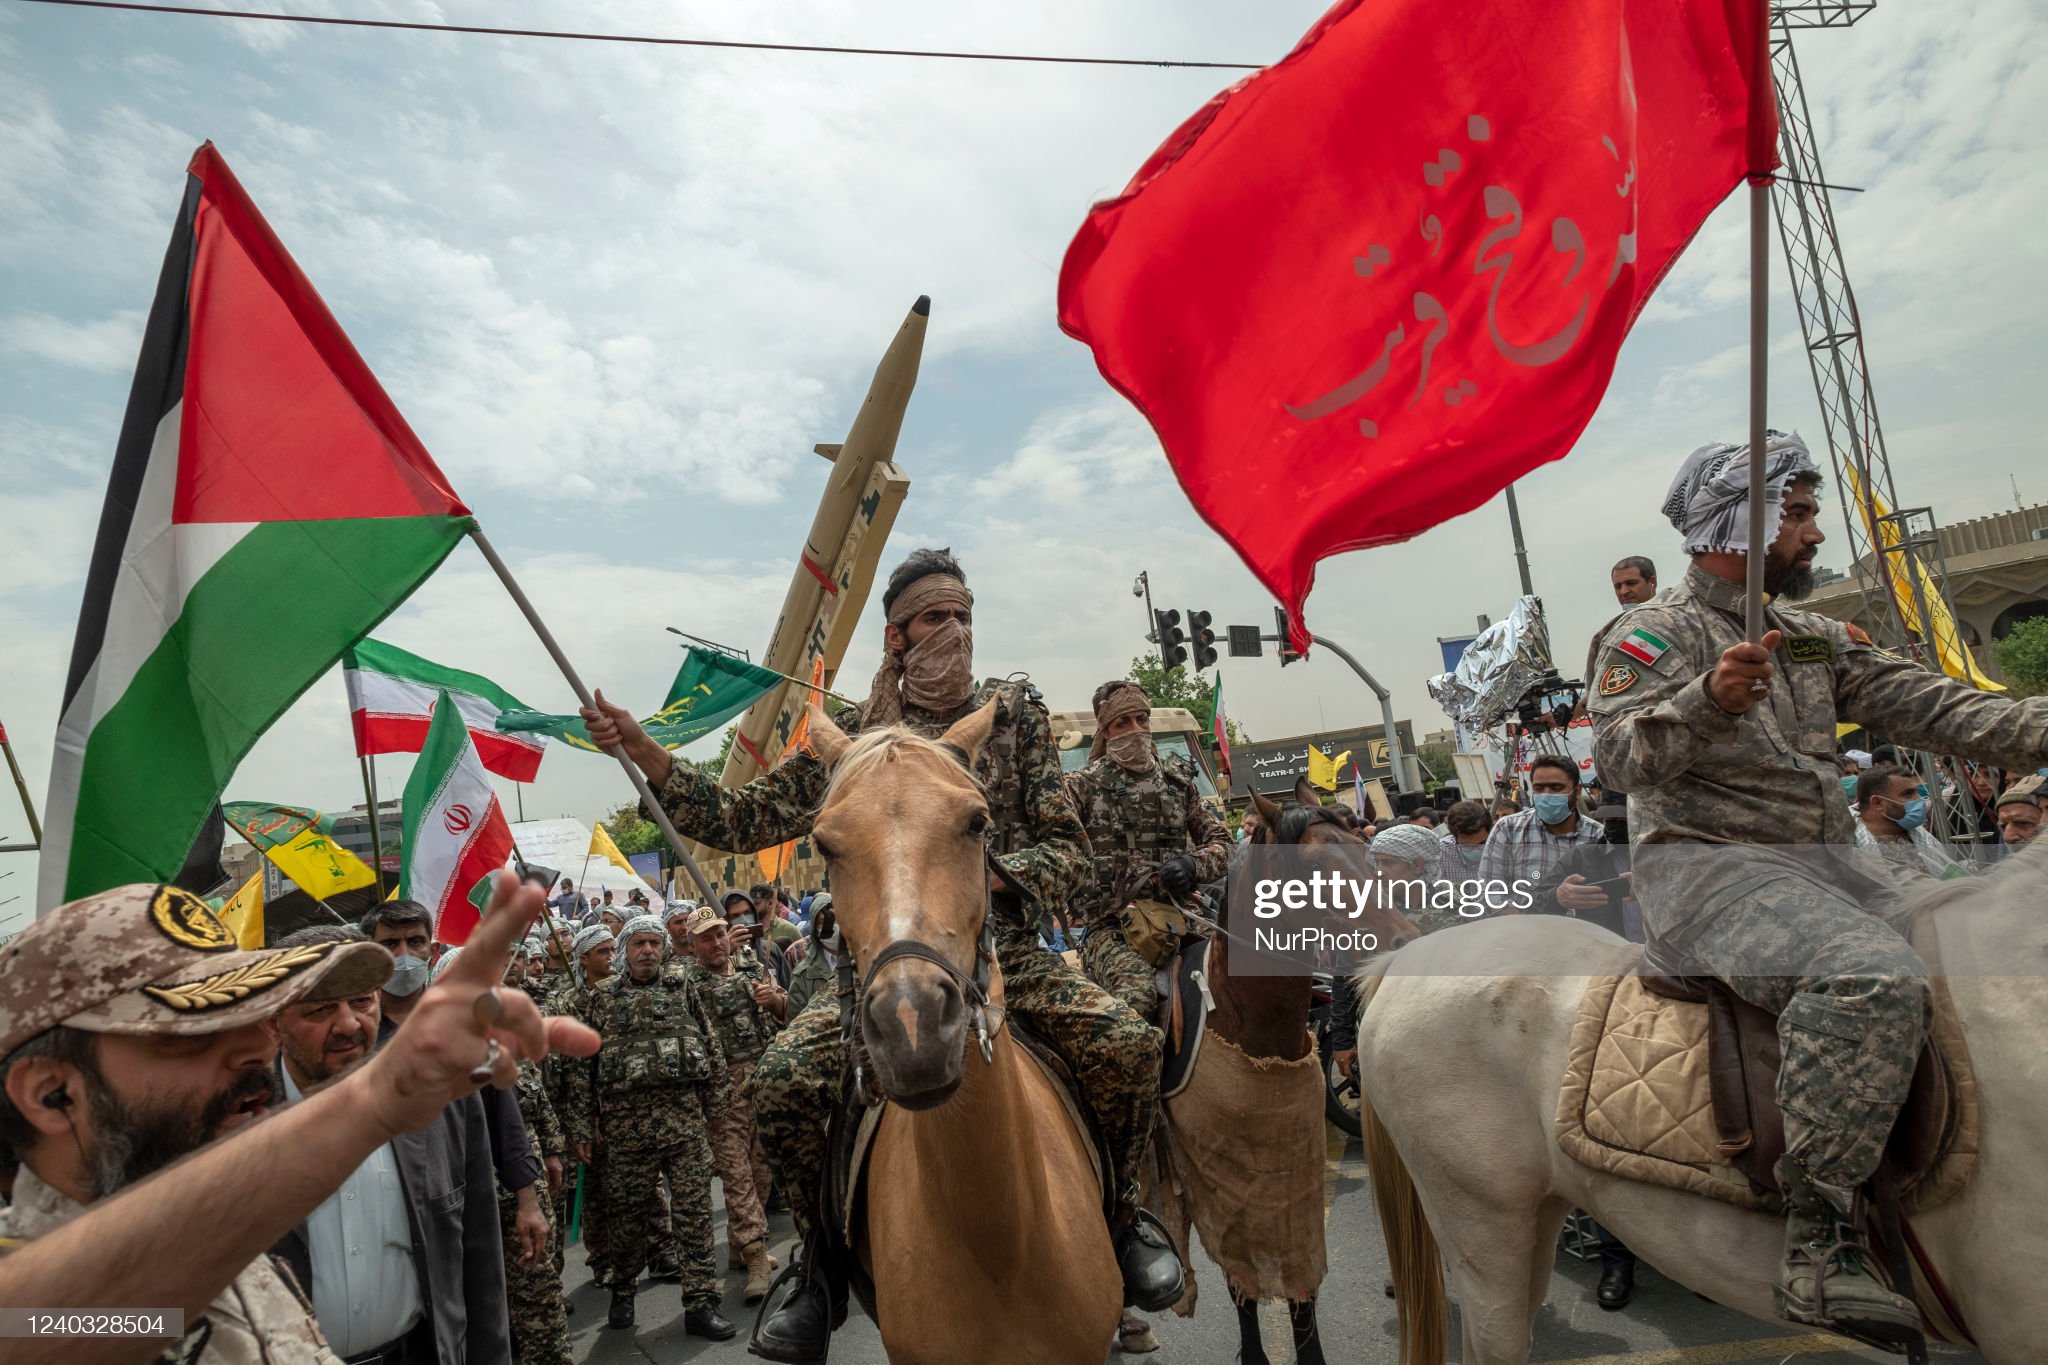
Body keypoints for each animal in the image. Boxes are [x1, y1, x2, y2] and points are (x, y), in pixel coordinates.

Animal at [1155, 777, 1425, 1365]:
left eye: (1365, 848)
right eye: (1314, 866)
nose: (1405, 944)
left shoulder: (1291, 1178)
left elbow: (1300, 1291)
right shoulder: (1221, 1185)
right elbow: (1241, 1283)